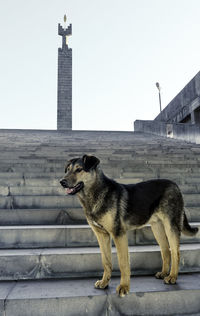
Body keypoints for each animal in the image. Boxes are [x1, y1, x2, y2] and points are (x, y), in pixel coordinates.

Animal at [59, 154, 198, 298]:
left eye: (79, 169)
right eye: (67, 170)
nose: (61, 182)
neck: (96, 192)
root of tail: (175, 185)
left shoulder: (118, 234)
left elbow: (123, 263)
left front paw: (124, 287)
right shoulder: (102, 235)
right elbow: (106, 261)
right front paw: (104, 283)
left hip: (171, 226)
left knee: (176, 251)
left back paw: (172, 277)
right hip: (157, 228)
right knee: (166, 250)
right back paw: (164, 273)